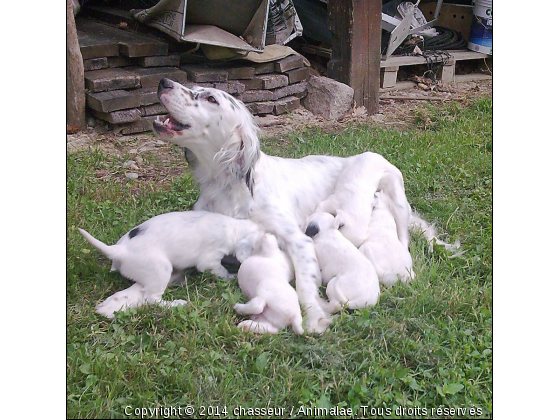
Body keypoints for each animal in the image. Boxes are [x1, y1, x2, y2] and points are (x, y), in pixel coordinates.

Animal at [153, 79, 412, 334]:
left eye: (211, 98)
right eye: (193, 86)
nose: (163, 82)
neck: (229, 186)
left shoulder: (300, 240)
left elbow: (305, 287)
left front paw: (315, 319)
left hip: (396, 195)